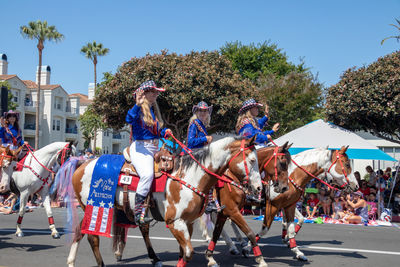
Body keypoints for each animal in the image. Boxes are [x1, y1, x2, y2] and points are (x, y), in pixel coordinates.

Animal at [67, 136, 264, 267]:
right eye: (252, 160)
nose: (259, 188)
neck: (190, 176)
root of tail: (82, 164)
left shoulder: (188, 223)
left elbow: (185, 253)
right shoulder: (175, 222)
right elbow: (189, 252)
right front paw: (258, 258)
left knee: (81, 231)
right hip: (95, 206)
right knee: (92, 236)